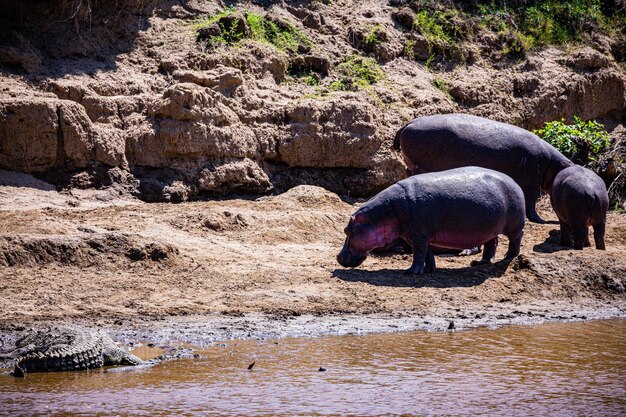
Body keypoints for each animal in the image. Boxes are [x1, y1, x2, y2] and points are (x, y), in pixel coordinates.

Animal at [334, 166, 524, 272]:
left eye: (347, 230)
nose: (337, 257)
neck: (387, 212)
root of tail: (514, 182)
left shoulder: (418, 235)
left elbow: (418, 253)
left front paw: (411, 272)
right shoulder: (415, 236)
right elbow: (426, 253)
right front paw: (430, 269)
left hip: (514, 225)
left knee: (515, 239)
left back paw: (508, 257)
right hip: (490, 229)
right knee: (492, 243)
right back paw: (478, 263)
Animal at [392, 112, 572, 223]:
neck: (552, 165)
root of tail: (409, 123)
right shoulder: (532, 181)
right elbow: (531, 202)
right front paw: (539, 220)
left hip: (412, 163)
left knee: (407, 172)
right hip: (420, 165)